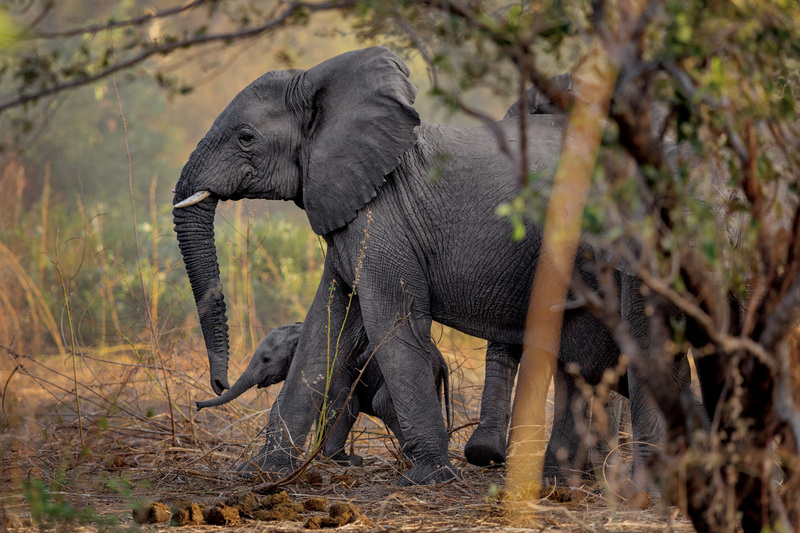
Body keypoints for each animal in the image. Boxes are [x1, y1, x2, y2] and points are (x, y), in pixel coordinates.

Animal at [194, 322, 451, 467]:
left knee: (382, 404)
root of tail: (441, 360)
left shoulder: (339, 369)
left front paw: (346, 462)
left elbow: (344, 406)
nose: (196, 404)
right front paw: (320, 458)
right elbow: (321, 408)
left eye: (266, 359)